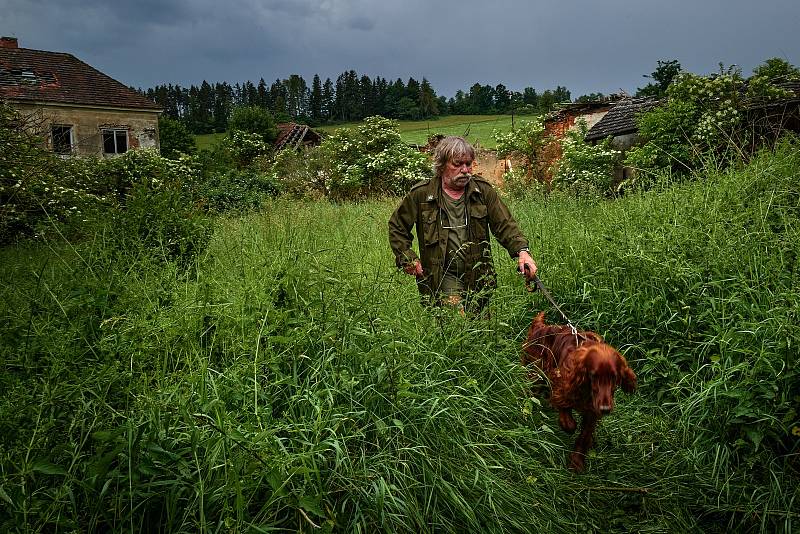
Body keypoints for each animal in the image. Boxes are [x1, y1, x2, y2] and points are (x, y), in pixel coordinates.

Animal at [524, 314, 636, 474]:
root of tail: (540, 327)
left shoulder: (593, 409)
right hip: (535, 372)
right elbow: (567, 416)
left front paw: (576, 461)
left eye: (615, 377)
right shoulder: (561, 382)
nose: (605, 409)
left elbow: (584, 436)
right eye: (593, 375)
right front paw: (568, 425)